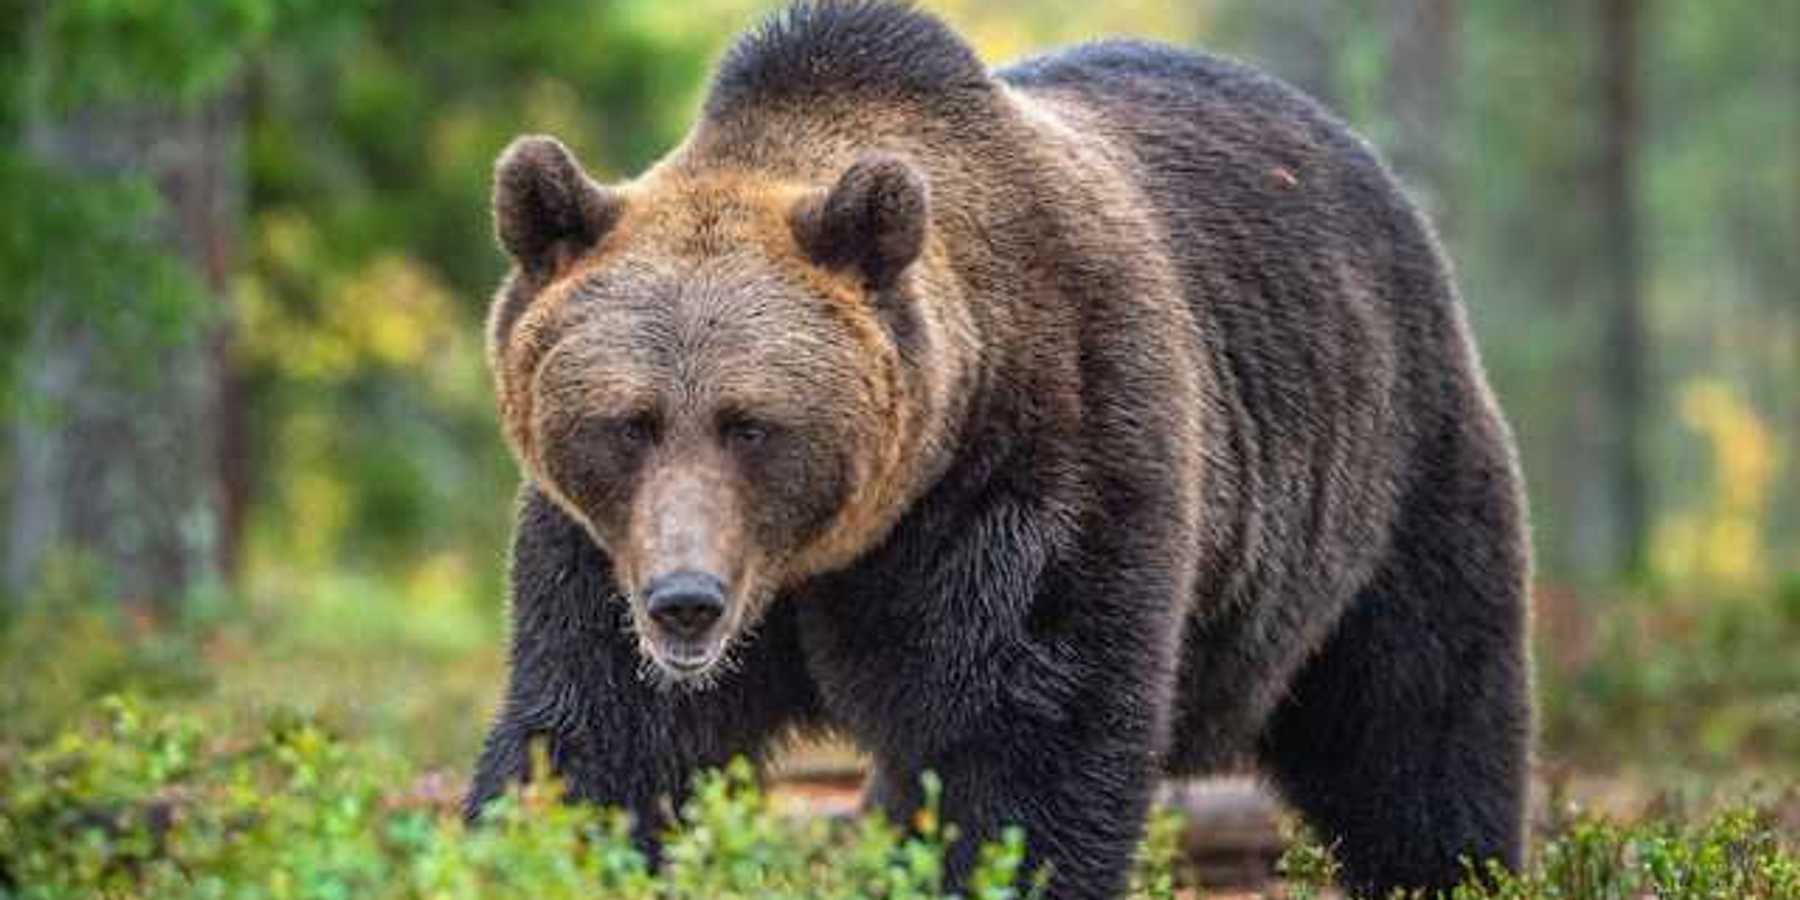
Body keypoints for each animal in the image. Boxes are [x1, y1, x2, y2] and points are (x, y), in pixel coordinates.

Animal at [464, 2, 1533, 897]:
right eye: (628, 422)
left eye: (751, 423)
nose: (685, 601)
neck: (831, 551)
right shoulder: (598, 549)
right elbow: (593, 739)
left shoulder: (1039, 470)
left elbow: (1028, 746)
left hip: (1389, 480)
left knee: (1418, 723)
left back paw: (1457, 864)